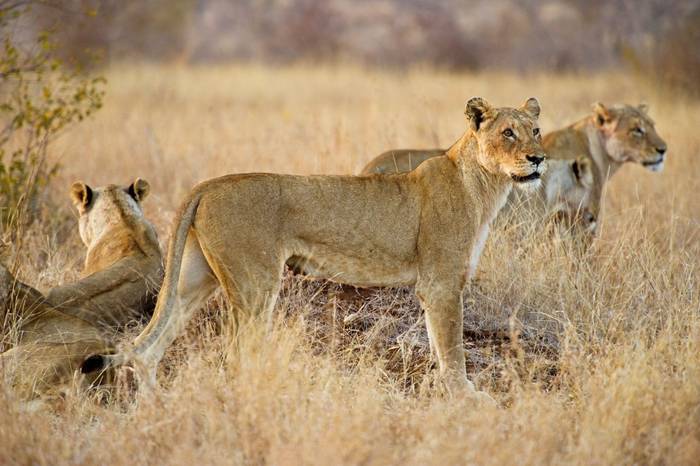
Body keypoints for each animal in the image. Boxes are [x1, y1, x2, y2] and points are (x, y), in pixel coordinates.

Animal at [85, 97, 545, 404]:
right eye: (507, 132)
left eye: (536, 131)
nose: (539, 158)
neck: (486, 186)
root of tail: (208, 184)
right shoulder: (442, 284)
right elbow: (451, 346)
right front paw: (465, 396)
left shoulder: (438, 286)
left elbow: (439, 343)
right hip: (256, 284)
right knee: (237, 352)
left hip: (194, 281)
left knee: (146, 345)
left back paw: (152, 405)